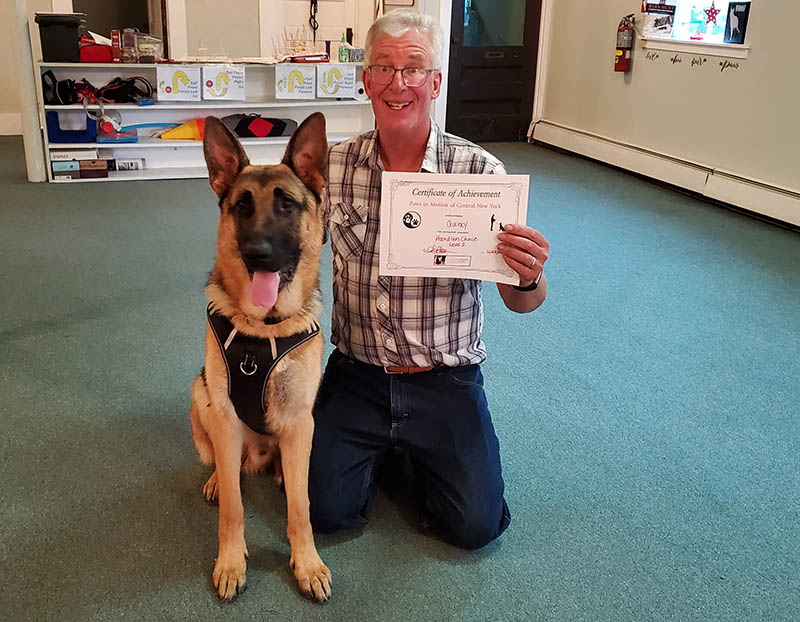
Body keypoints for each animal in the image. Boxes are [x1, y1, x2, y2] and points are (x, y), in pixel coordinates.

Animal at [188, 113, 332, 604]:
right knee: (224, 465)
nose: (258, 254)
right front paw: (231, 561)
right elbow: (233, 507)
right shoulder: (226, 414)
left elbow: (302, 507)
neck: (263, 327)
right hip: (200, 395)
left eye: (287, 204)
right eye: (242, 207)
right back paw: (219, 477)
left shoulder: (301, 420)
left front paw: (307, 563)